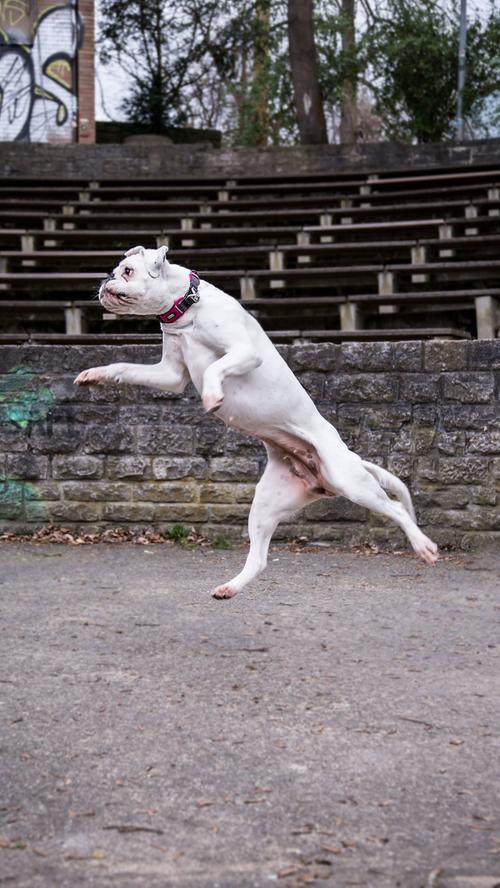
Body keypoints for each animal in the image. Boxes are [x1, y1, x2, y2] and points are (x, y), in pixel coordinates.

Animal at [74, 246, 438, 600]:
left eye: (128, 271)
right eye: (116, 270)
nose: (105, 279)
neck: (188, 309)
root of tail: (331, 468)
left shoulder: (244, 353)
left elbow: (214, 368)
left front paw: (213, 395)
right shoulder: (170, 375)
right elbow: (124, 366)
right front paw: (94, 375)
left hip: (352, 482)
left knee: (397, 509)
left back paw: (424, 546)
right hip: (265, 505)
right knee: (260, 559)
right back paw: (229, 588)